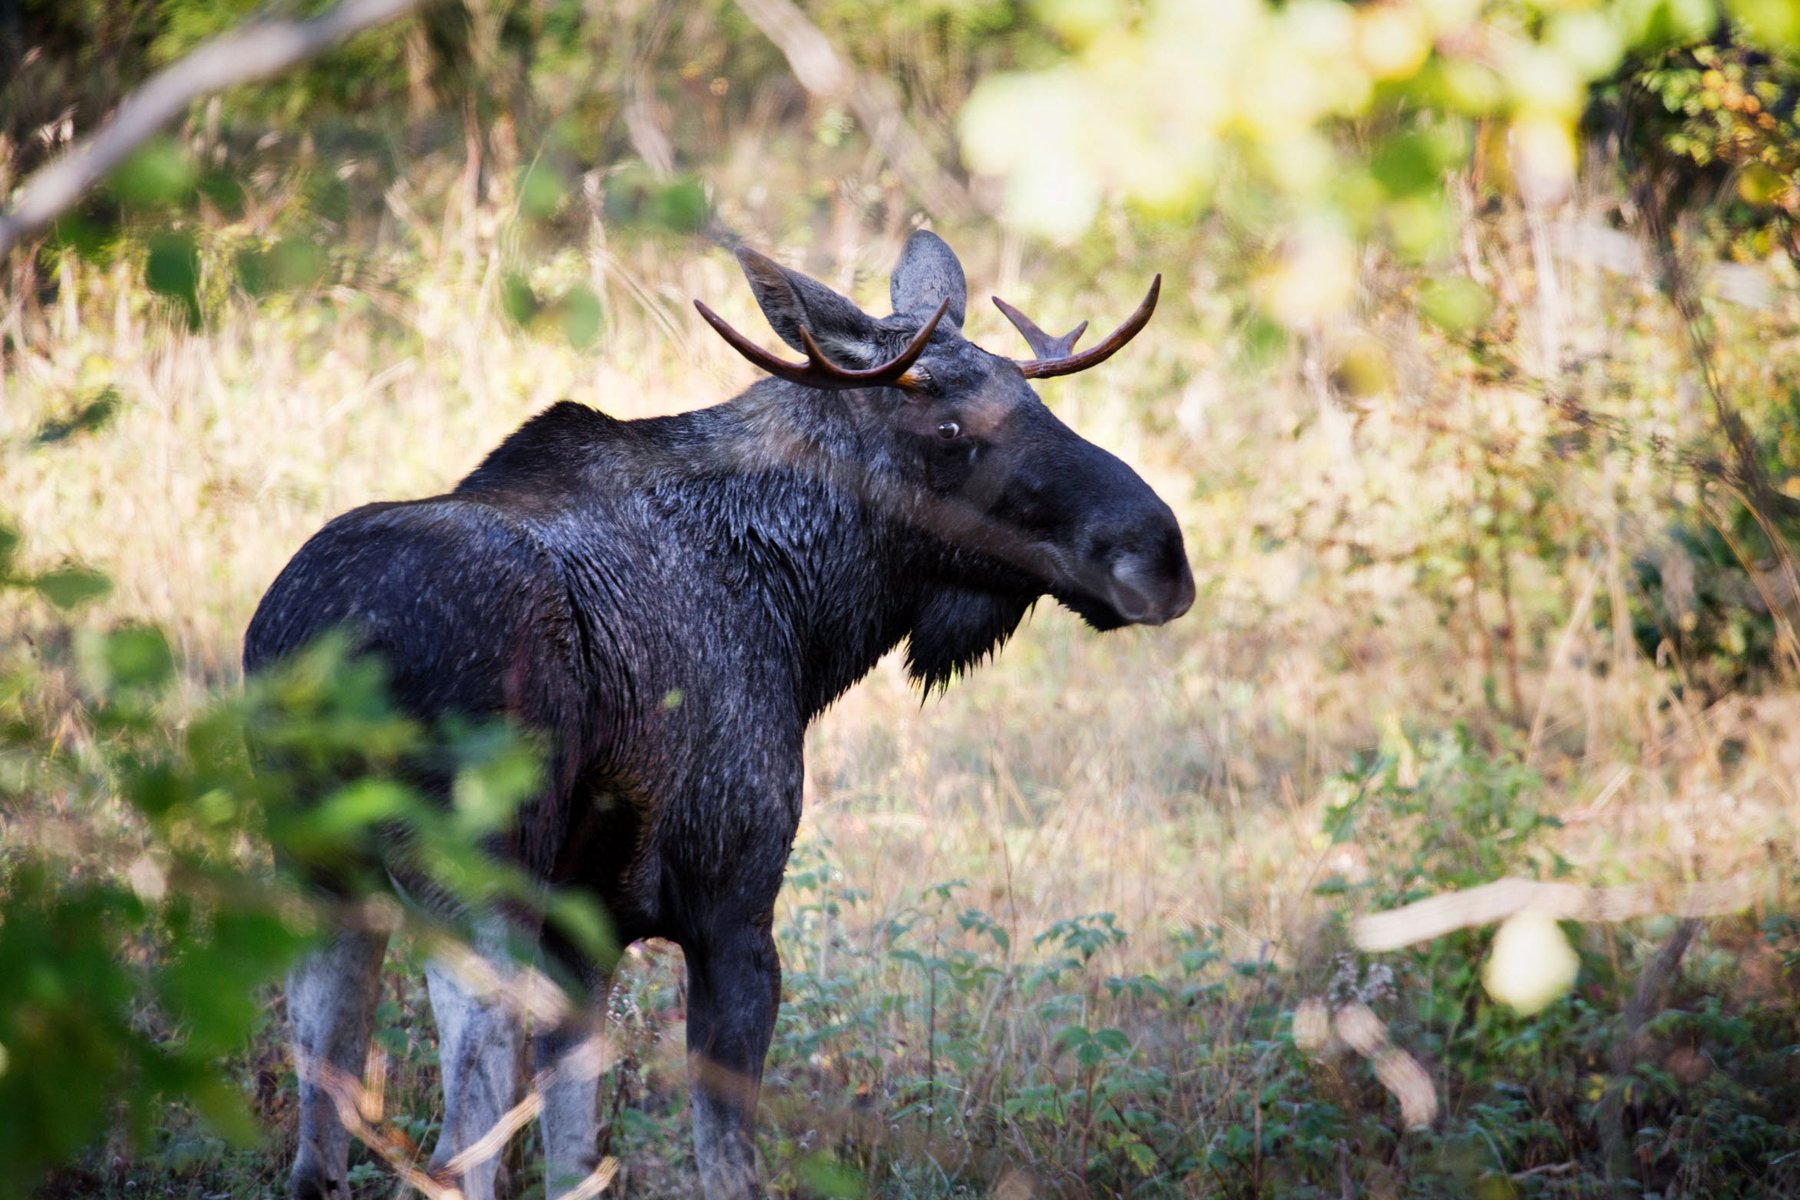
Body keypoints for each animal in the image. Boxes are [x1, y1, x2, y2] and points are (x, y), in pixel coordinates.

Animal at [243, 233, 1195, 1200]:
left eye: (1036, 401)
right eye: (950, 430)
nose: (1160, 551)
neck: (810, 619)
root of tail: (331, 655)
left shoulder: (585, 934)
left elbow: (576, 1158)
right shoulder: (734, 903)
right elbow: (727, 1165)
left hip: (317, 878)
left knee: (319, 1147)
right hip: (475, 885)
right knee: (450, 1157)